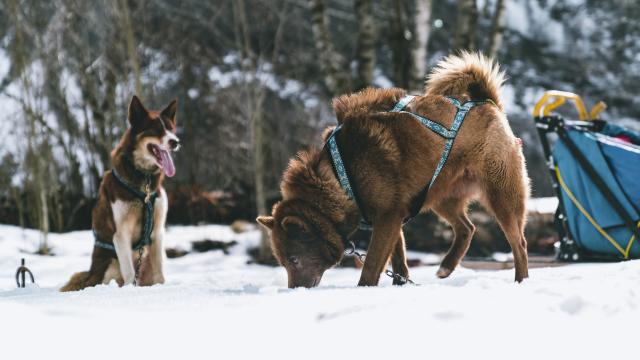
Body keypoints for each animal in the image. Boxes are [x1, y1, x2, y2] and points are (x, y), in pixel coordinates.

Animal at [61, 96, 180, 292]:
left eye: (170, 129)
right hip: (110, 263)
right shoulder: (120, 233)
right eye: (156, 129)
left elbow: (160, 274)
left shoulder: (157, 232)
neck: (144, 182)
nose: (175, 141)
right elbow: (130, 272)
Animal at [255, 52, 528, 288]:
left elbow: (372, 265)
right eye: (283, 262)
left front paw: (366, 288)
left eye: (294, 259)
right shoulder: (394, 216)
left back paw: (520, 280)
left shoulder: (388, 217)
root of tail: (487, 102)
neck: (340, 176)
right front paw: (400, 283)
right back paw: (447, 266)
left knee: (519, 243)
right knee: (467, 228)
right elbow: (398, 260)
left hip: (502, 196)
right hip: (440, 195)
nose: (295, 291)